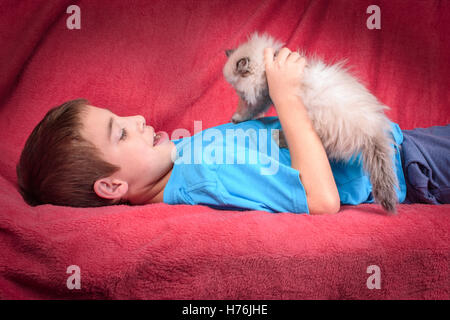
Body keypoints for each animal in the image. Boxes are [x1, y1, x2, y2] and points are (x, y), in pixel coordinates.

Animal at [223, 31, 400, 212]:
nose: (240, 96)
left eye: (239, 92)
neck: (267, 63)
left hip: (319, 120)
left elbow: (250, 110)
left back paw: (278, 137)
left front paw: (237, 117)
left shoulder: (264, 96)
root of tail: (372, 129)